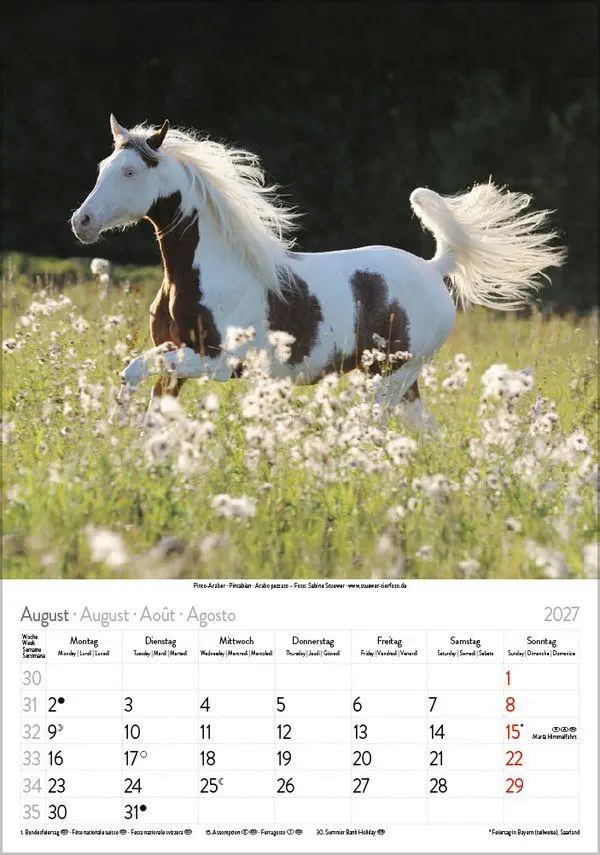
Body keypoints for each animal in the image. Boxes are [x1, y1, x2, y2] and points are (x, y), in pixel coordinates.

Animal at [71, 115, 565, 428]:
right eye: (102, 167)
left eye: (130, 172)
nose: (82, 222)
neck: (200, 275)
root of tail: (433, 268)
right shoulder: (175, 362)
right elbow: (149, 408)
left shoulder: (217, 363)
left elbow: (133, 369)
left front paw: (113, 427)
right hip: (402, 382)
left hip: (390, 378)